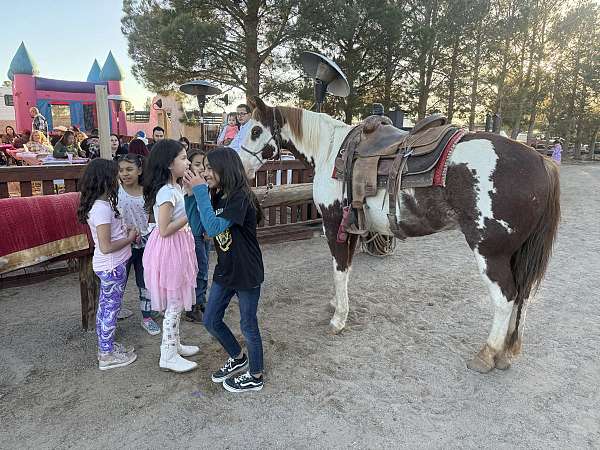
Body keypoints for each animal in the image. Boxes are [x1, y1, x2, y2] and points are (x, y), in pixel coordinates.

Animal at [238, 96, 556, 372]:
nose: (238, 164)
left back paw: (487, 354)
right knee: (523, 295)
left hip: (491, 253)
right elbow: (346, 270)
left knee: (506, 298)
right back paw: (506, 353)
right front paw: (337, 304)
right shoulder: (351, 228)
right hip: (516, 254)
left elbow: (339, 270)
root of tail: (541, 161)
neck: (330, 151)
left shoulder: (333, 224)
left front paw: (338, 319)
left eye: (254, 130)